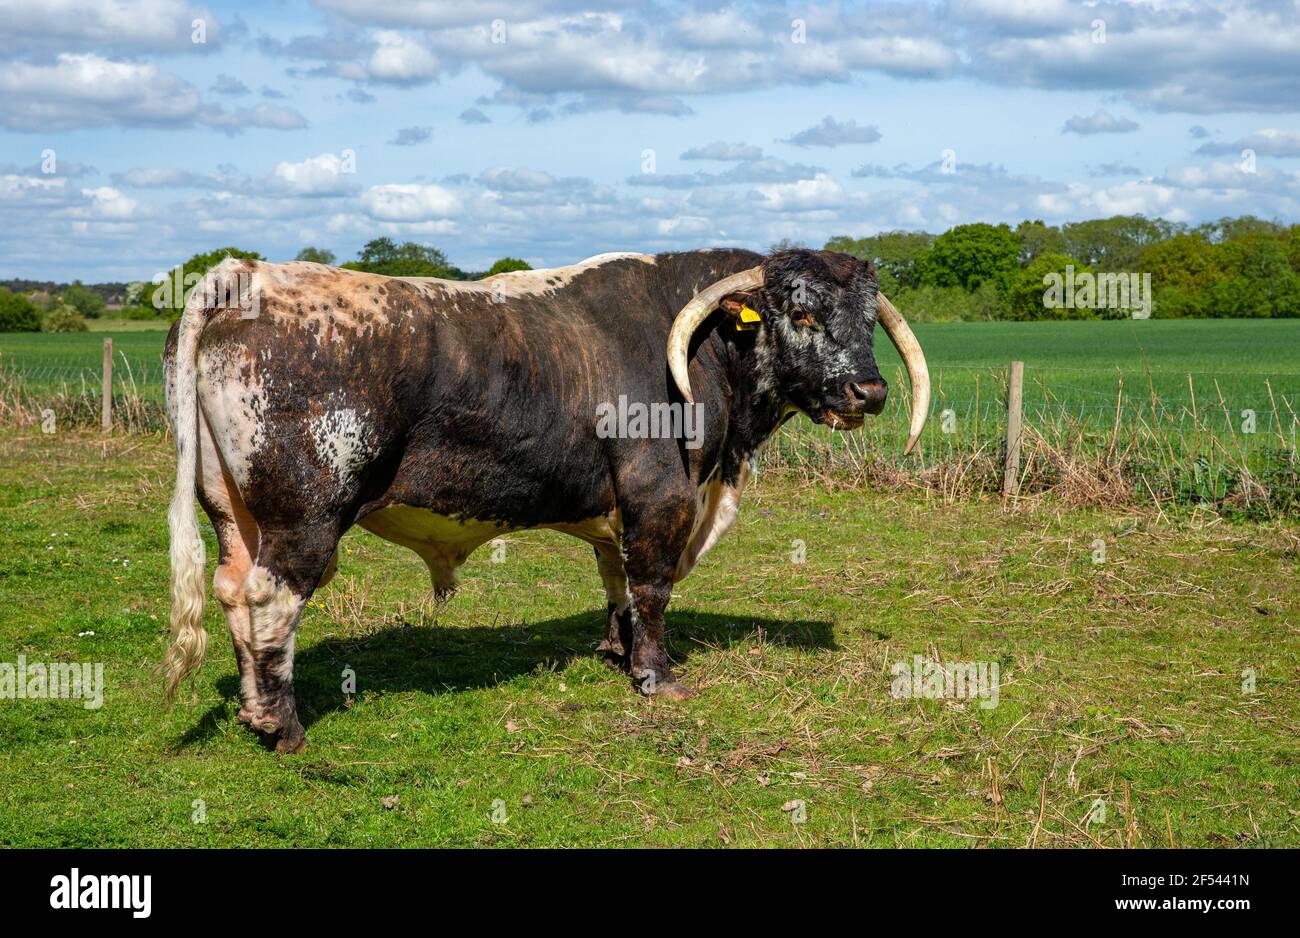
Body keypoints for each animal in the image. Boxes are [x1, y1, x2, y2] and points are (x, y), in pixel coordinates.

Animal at [162, 248, 929, 753]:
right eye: (800, 312)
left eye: (867, 317)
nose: (868, 392)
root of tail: (248, 273)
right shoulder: (661, 496)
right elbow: (652, 588)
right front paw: (657, 676)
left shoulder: (623, 510)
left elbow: (619, 583)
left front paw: (619, 653)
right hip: (306, 517)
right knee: (270, 600)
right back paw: (282, 726)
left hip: (234, 509)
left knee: (232, 590)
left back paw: (251, 710)